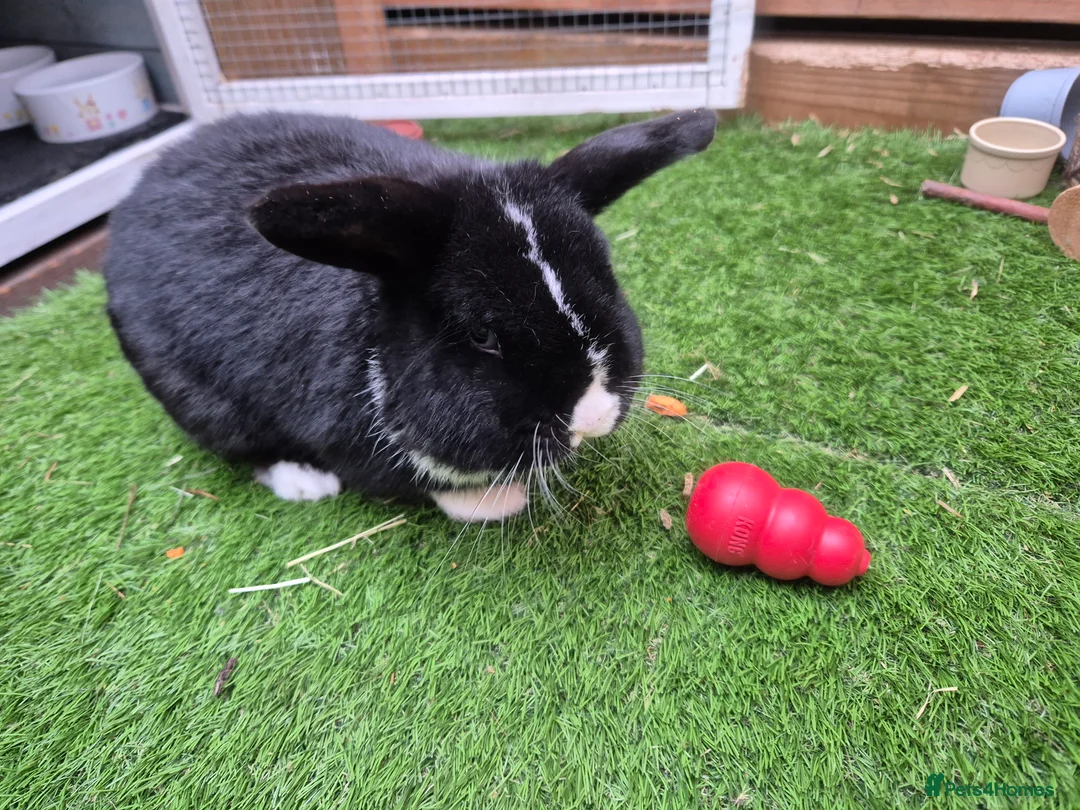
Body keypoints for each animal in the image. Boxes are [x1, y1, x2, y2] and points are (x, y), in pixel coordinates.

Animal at [104, 109, 717, 522]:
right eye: (482, 333)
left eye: (608, 281)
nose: (593, 416)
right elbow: (419, 480)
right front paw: (495, 502)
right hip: (201, 403)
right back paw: (305, 483)